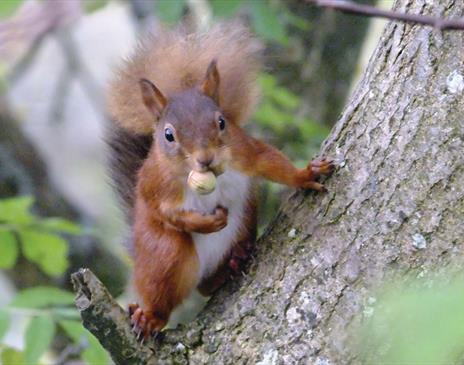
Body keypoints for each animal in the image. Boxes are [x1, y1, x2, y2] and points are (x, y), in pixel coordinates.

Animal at [108, 23, 334, 338]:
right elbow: (166, 212)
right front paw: (206, 222)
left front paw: (306, 175)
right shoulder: (155, 184)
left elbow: (272, 164)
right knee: (171, 288)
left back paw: (233, 263)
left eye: (221, 121)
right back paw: (150, 317)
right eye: (168, 135)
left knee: (207, 284)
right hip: (162, 255)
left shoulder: (245, 151)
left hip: (244, 221)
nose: (205, 159)